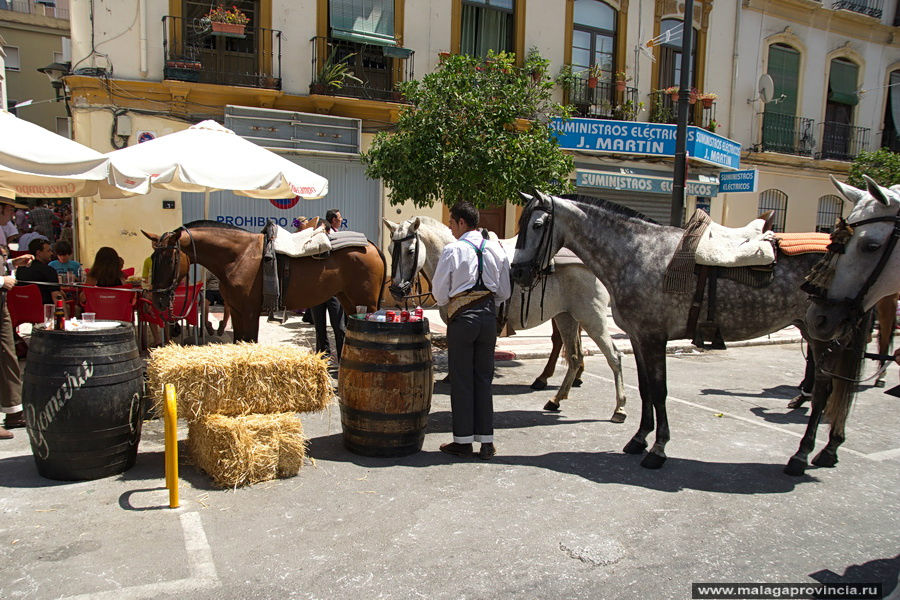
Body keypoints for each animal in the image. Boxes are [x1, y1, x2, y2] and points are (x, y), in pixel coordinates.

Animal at [146, 220, 384, 342]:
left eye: (170, 259)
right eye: (153, 258)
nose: (158, 300)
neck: (239, 256)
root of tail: (371, 245)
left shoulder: (250, 312)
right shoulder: (237, 312)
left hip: (367, 305)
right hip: (348, 301)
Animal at [384, 216, 624, 422]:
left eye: (411, 251)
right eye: (389, 250)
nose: (396, 290)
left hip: (592, 316)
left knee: (614, 356)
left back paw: (619, 409)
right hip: (566, 317)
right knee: (574, 356)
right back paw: (556, 399)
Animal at [510, 192, 860, 474]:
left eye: (538, 224)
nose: (518, 273)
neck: (637, 254)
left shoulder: (654, 338)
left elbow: (660, 392)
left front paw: (658, 449)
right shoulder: (639, 337)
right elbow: (646, 390)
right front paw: (639, 439)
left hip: (820, 336)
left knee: (824, 392)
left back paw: (801, 455)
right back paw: (830, 449)